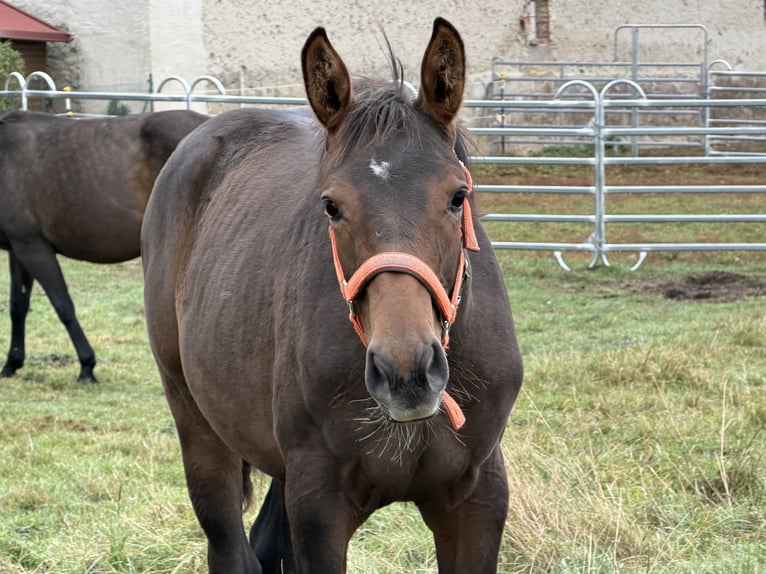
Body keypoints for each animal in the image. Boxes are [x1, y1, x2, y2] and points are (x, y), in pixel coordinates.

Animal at [0, 109, 207, 382]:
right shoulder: (19, 249)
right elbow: (18, 307)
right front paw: (11, 363)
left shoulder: (34, 248)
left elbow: (63, 305)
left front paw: (87, 366)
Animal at [141, 18, 523, 573]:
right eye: (331, 206)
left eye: (459, 196)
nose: (405, 373)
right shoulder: (319, 507)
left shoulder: (477, 502)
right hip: (197, 423)